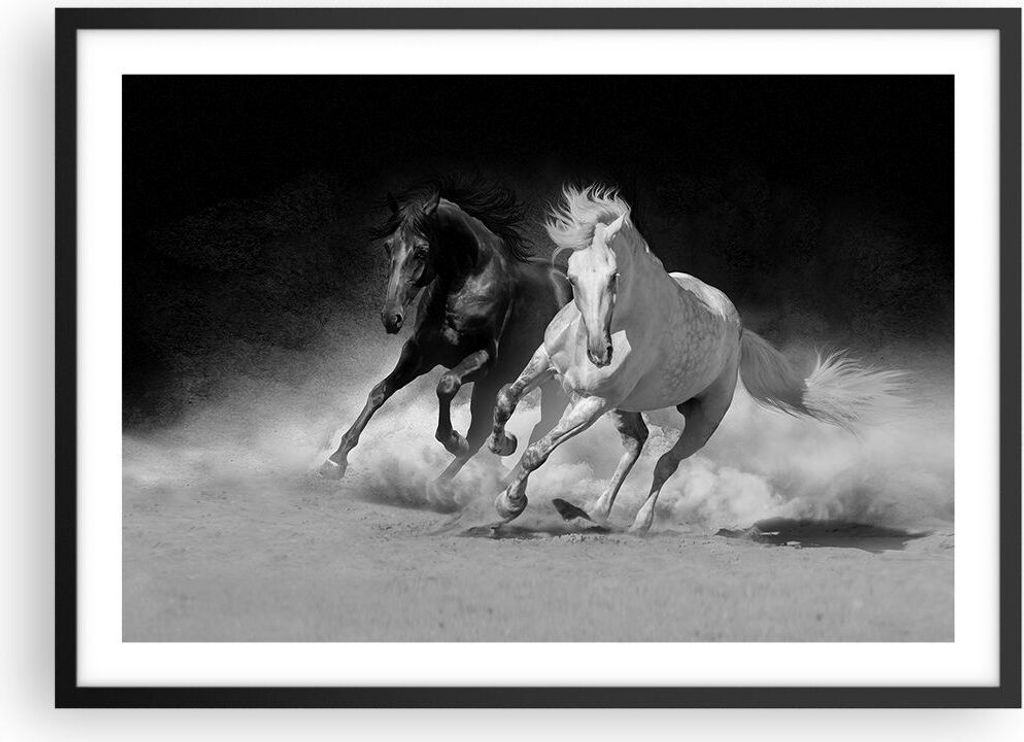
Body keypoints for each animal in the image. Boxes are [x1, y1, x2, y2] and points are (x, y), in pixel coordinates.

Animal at [319, 179, 571, 497]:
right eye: (389, 246)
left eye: (422, 251)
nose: (391, 317)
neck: (467, 283)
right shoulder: (419, 353)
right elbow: (379, 392)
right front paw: (335, 460)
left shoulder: (484, 358)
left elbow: (446, 384)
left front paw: (453, 439)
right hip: (493, 383)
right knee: (484, 431)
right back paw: (451, 480)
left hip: (548, 385)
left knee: (541, 426)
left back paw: (495, 480)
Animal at [487, 184, 905, 533]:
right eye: (572, 278)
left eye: (614, 276)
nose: (599, 354)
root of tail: (738, 330)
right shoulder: (546, 361)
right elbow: (506, 396)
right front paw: (501, 444)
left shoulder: (593, 402)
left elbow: (538, 452)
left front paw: (509, 503)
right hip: (627, 405)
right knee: (637, 442)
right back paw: (595, 510)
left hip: (703, 417)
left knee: (665, 462)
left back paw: (636, 522)